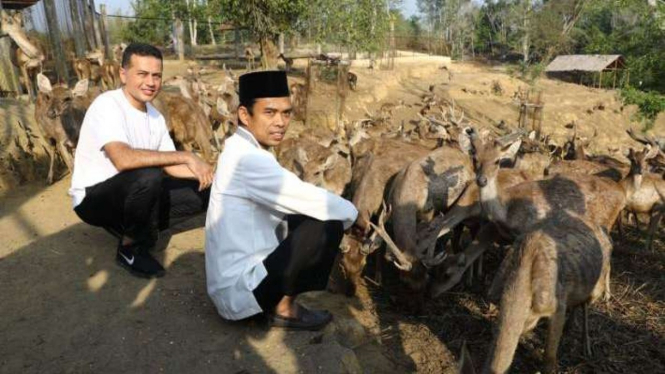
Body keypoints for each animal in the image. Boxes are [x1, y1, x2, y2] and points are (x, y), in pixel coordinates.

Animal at [482, 215, 612, 372]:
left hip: (597, 285)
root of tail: (604, 231)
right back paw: (569, 327)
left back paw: (586, 349)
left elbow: (550, 351)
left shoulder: (557, 305)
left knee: (586, 305)